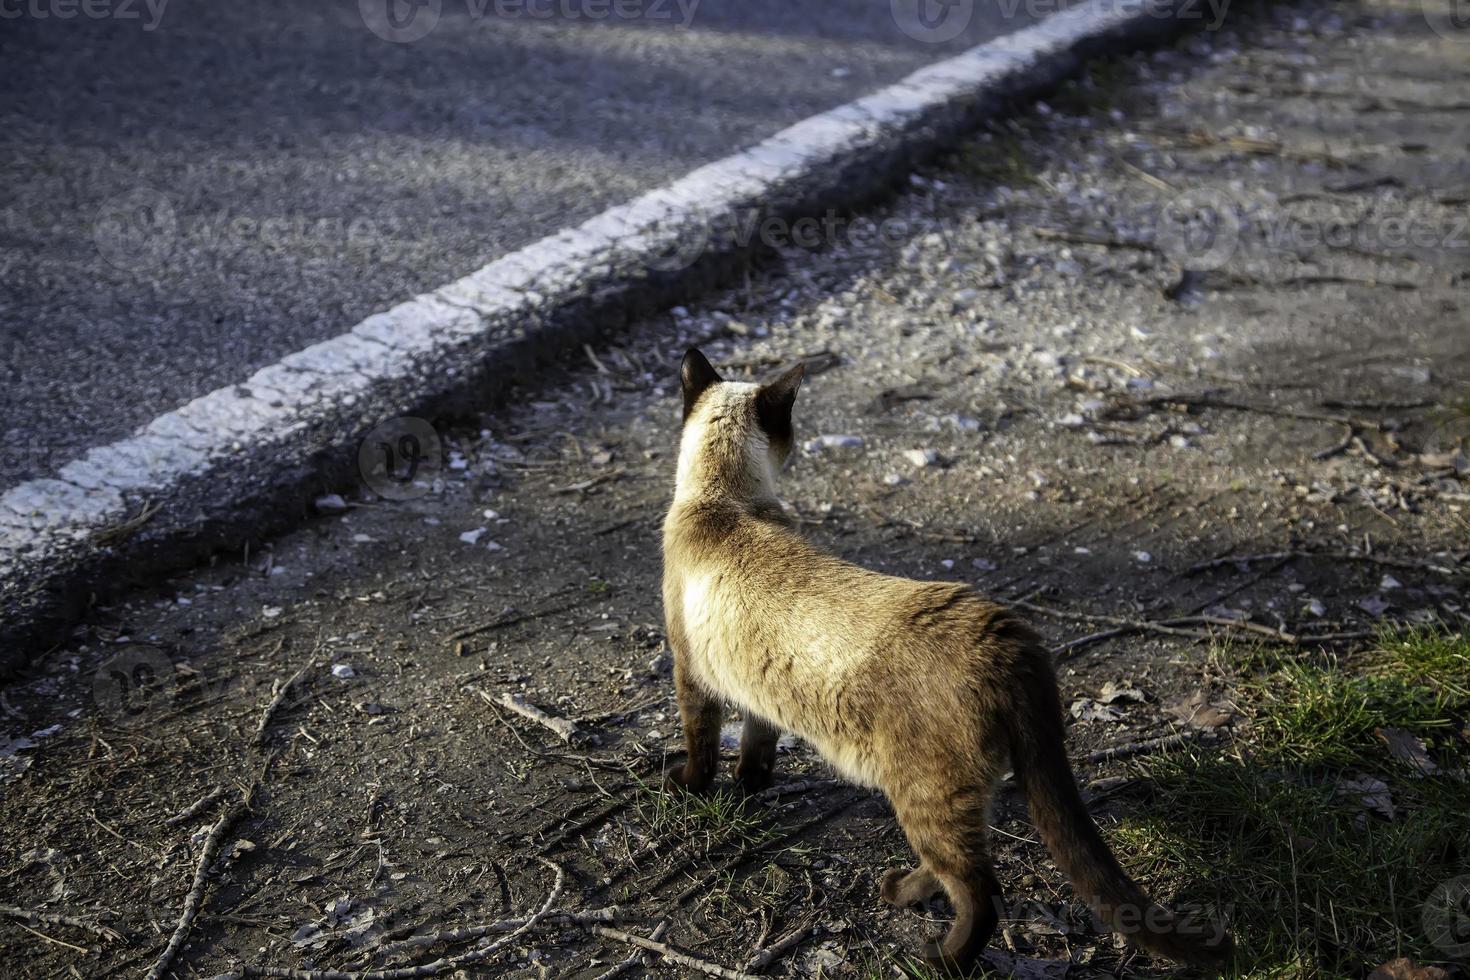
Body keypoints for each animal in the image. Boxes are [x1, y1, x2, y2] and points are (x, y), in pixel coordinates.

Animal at [664, 351, 1228, 975]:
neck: (727, 500)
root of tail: (1009, 640)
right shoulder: (754, 692)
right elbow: (756, 744)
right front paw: (751, 785)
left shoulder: (690, 676)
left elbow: (701, 745)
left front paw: (690, 786)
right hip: (951, 796)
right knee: (956, 870)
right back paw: (898, 892)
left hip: (921, 794)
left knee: (981, 890)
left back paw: (940, 958)